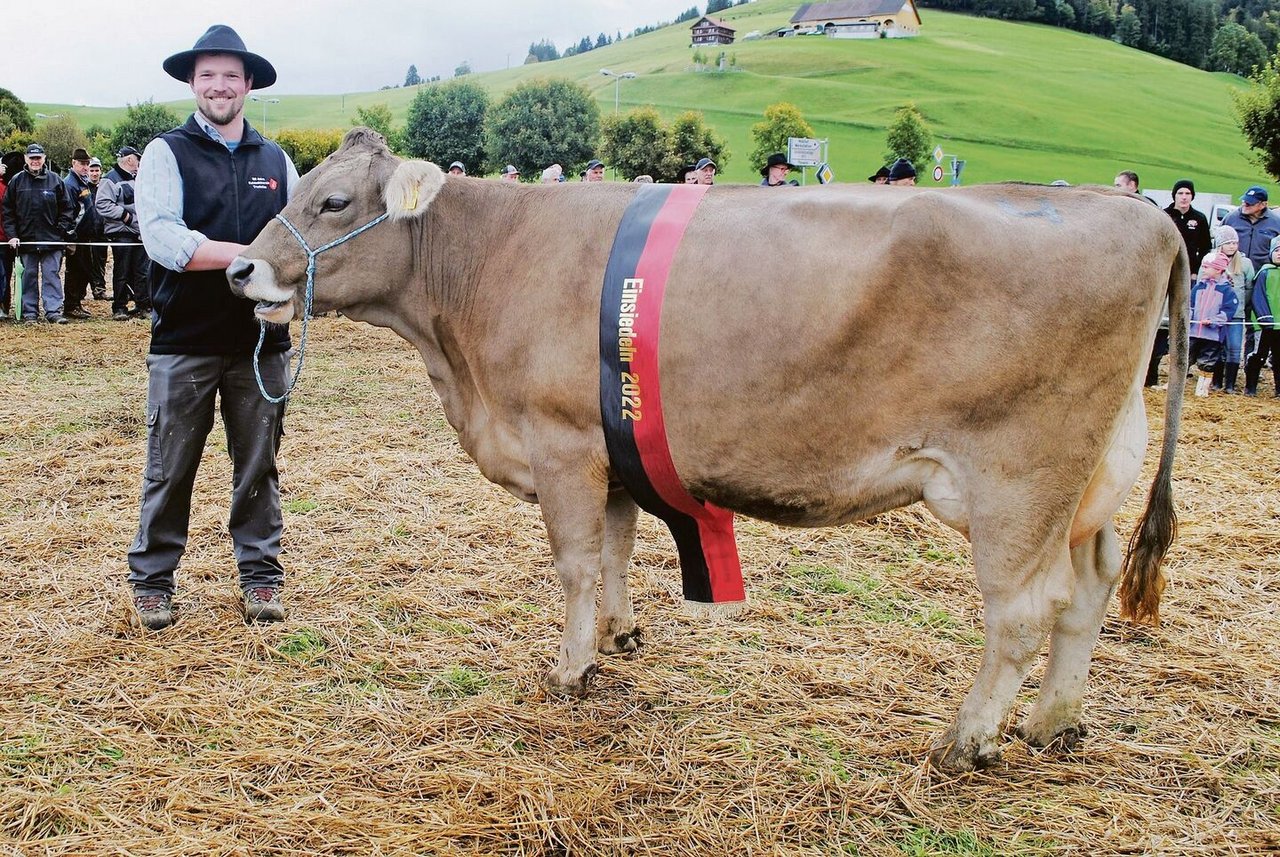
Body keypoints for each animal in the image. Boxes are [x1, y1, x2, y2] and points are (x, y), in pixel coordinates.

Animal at [222, 129, 1187, 777]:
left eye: (334, 202)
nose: (239, 271)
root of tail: (1138, 213)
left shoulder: (561, 441)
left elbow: (575, 561)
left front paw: (569, 668)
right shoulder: (611, 441)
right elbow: (617, 547)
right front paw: (619, 634)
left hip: (1017, 476)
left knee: (1023, 607)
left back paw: (968, 738)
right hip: (1093, 475)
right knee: (1092, 584)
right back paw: (1054, 720)